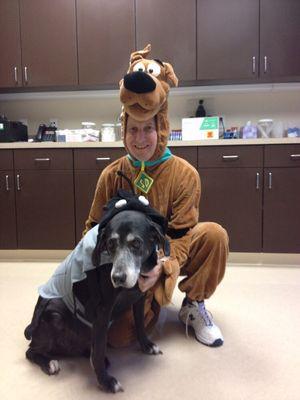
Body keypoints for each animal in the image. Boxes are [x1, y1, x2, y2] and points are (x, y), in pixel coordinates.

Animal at [23, 191, 169, 394]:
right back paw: (49, 362)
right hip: (54, 312)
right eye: (110, 244)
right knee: (31, 350)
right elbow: (99, 351)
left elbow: (140, 324)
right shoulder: (102, 312)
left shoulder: (140, 296)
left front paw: (147, 345)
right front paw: (106, 382)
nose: (118, 278)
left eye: (136, 243)